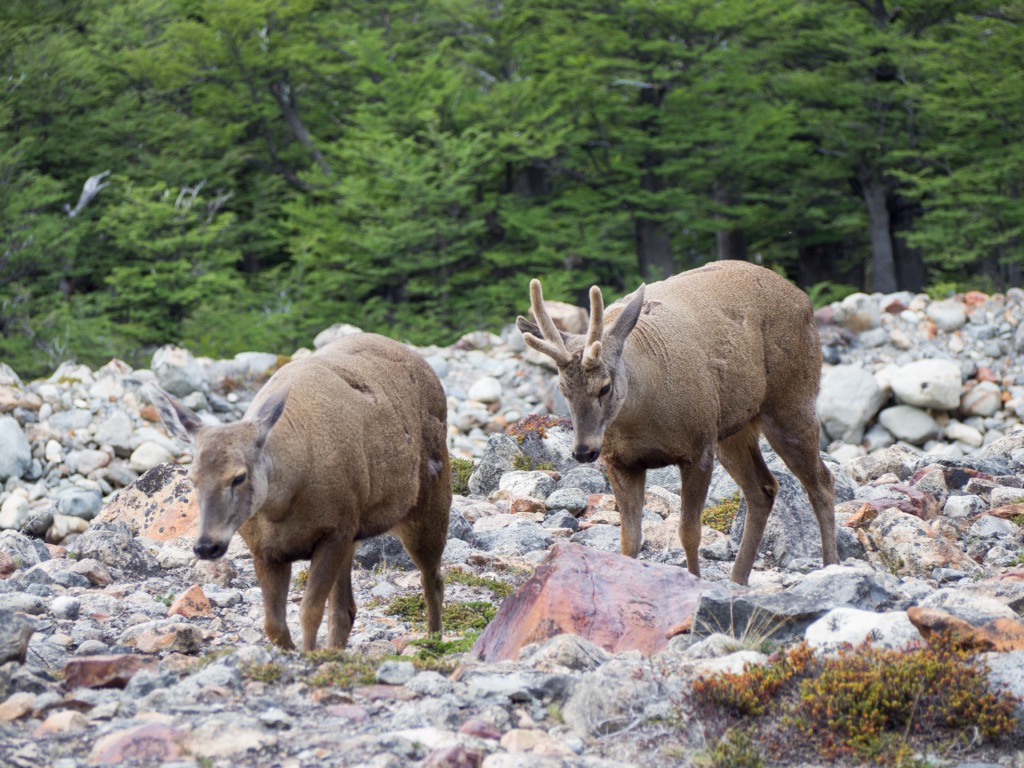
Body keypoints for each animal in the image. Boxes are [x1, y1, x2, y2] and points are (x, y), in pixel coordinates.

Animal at [149, 333, 451, 650]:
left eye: (239, 476)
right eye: (192, 477)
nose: (207, 546)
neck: (282, 506)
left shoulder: (335, 530)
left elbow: (310, 611)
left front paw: (308, 654)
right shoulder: (266, 549)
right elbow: (274, 624)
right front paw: (295, 652)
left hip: (430, 500)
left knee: (433, 578)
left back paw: (434, 640)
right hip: (355, 530)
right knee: (346, 609)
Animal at [517, 260, 838, 585]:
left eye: (604, 387)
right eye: (562, 389)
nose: (583, 451)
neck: (642, 420)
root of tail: (803, 299)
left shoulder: (698, 450)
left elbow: (689, 533)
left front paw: (695, 581)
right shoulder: (620, 462)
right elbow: (629, 541)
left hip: (792, 403)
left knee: (821, 482)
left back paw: (831, 565)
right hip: (731, 430)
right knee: (764, 488)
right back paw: (737, 580)